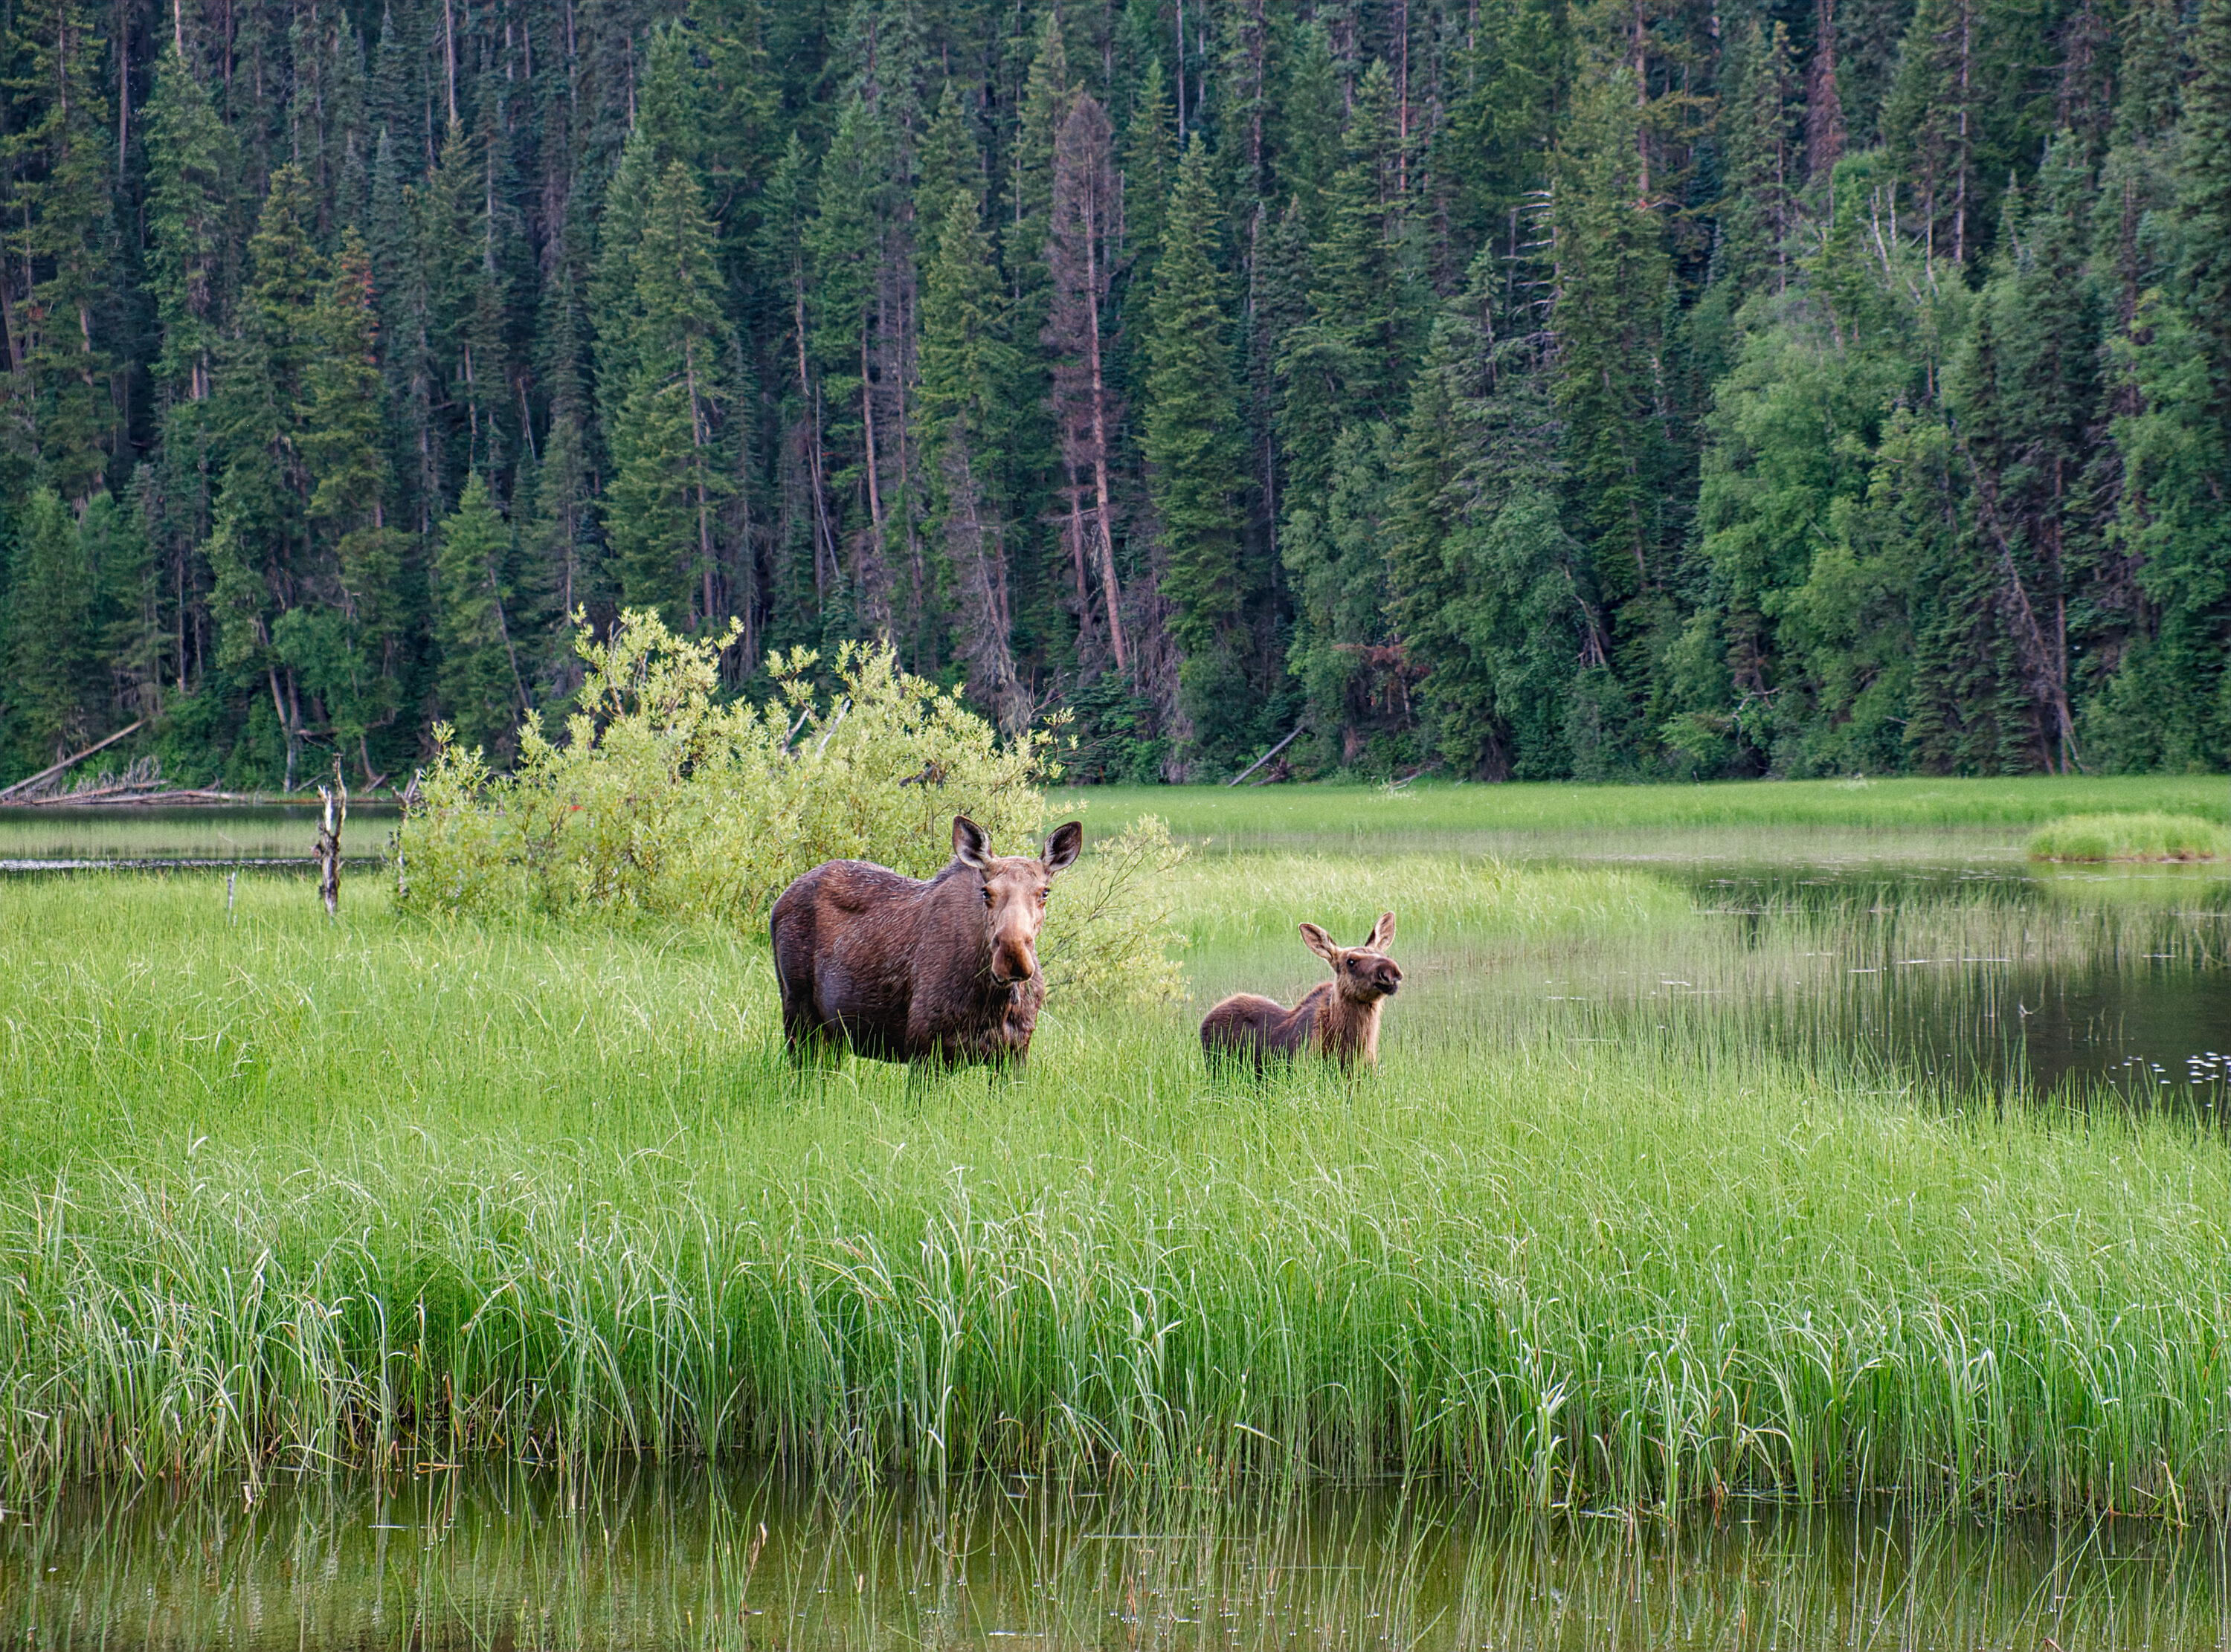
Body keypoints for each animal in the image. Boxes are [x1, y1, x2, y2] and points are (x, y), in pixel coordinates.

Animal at [770, 814, 1085, 1070]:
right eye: (986, 891)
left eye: (1045, 892)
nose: (1012, 957)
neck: (996, 1002)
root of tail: (778, 902)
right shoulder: (924, 1048)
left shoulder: (1015, 1053)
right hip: (797, 1015)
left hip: (833, 1034)